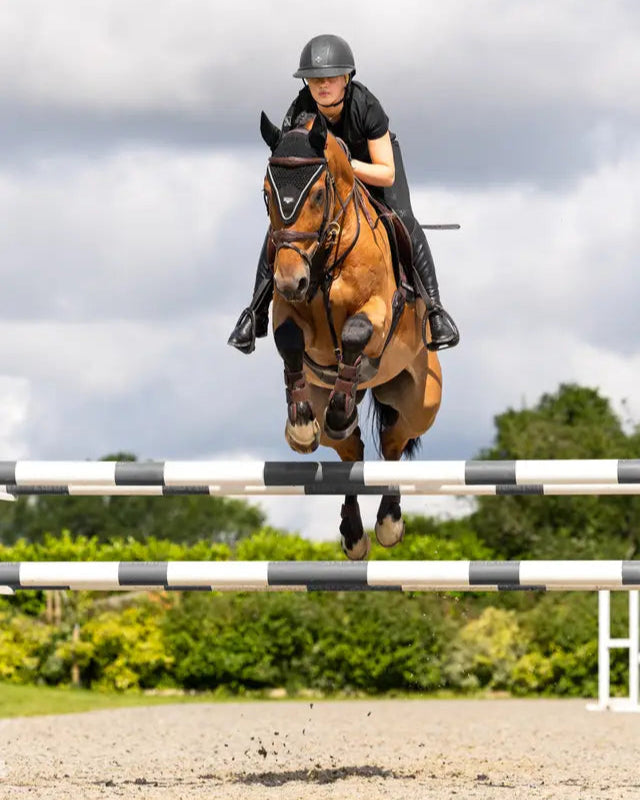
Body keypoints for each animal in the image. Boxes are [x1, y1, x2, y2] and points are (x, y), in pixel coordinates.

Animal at [260, 111, 443, 559]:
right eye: (266, 194)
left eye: (317, 195)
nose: (289, 279)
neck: (327, 255)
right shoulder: (287, 312)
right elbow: (290, 341)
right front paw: (300, 426)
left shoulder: (378, 312)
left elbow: (356, 333)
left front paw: (337, 409)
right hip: (332, 396)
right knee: (351, 451)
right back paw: (354, 533)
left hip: (419, 403)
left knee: (393, 442)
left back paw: (389, 523)